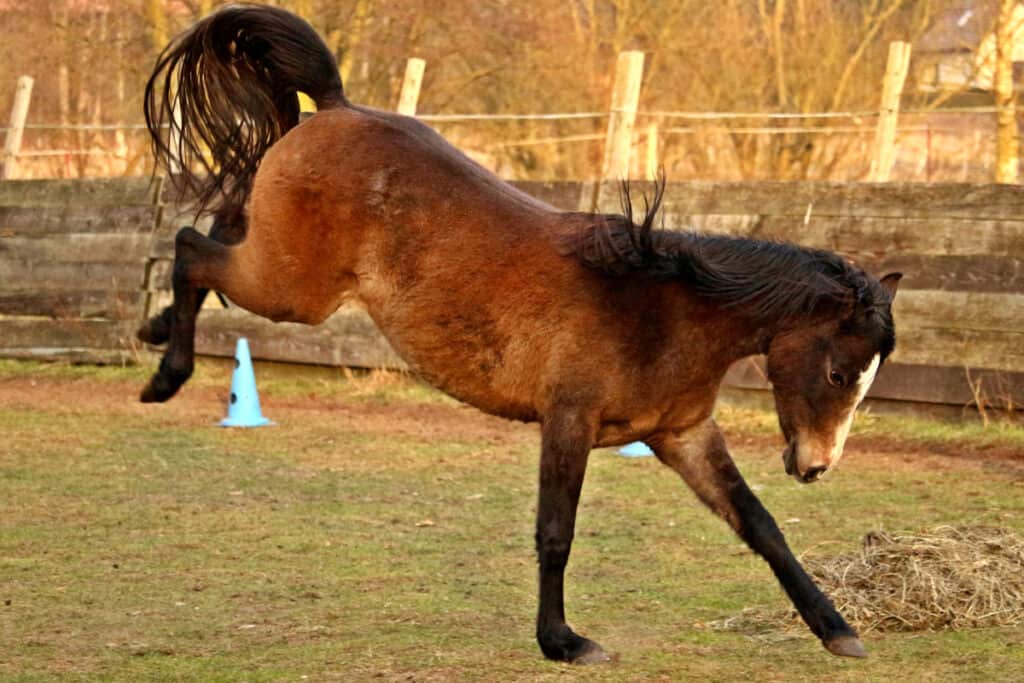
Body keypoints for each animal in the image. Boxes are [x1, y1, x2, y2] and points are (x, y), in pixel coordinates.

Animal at [139, 5, 900, 664]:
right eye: (839, 372)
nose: (817, 466)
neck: (664, 309)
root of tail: (334, 107)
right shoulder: (568, 421)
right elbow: (556, 532)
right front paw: (563, 641)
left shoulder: (682, 435)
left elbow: (760, 525)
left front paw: (838, 629)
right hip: (294, 290)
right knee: (190, 247)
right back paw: (165, 376)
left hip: (283, 269)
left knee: (215, 229)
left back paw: (154, 330)